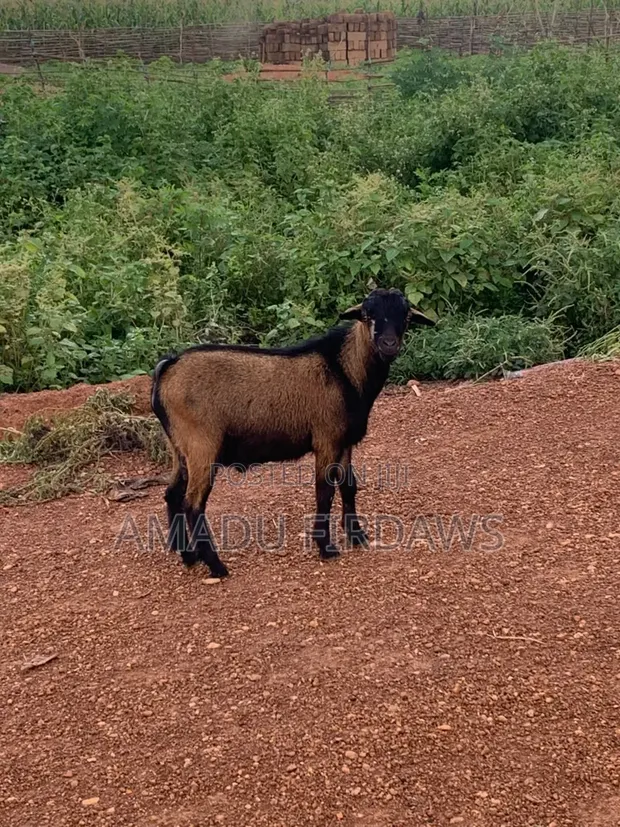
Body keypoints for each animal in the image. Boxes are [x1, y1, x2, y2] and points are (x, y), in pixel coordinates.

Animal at [151, 288, 435, 577]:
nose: (388, 344)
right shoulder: (326, 439)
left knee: (173, 495)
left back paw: (188, 555)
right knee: (193, 505)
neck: (343, 369)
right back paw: (217, 566)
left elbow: (349, 487)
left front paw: (357, 536)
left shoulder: (344, 442)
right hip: (202, 446)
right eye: (368, 314)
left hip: (180, 447)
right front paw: (326, 547)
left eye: (406, 317)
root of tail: (168, 367)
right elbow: (324, 492)